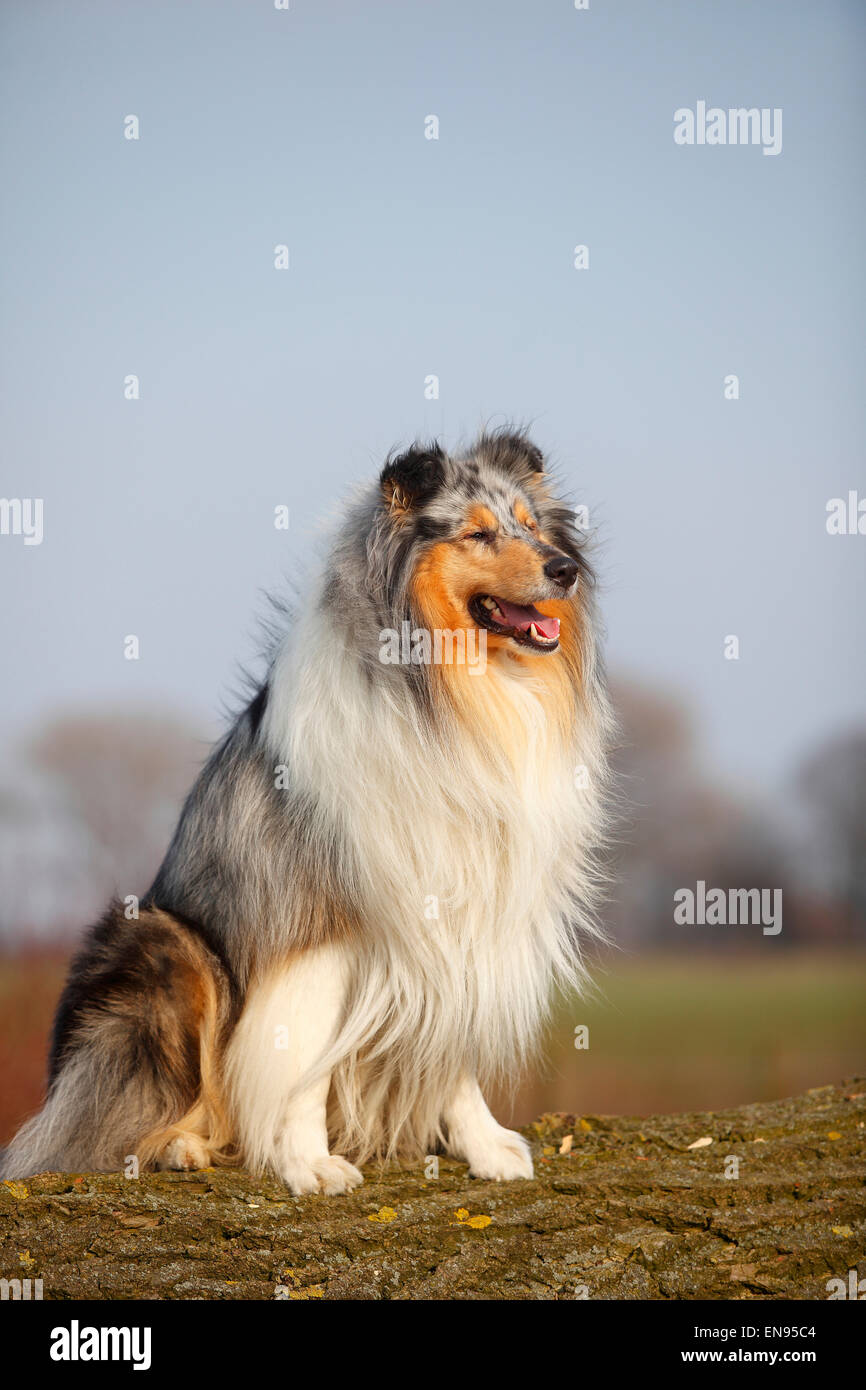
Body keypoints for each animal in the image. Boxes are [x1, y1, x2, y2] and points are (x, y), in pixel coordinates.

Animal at [1, 430, 608, 1195]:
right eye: (476, 533)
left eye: (532, 527)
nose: (566, 569)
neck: (452, 694)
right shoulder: (316, 922)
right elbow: (301, 1064)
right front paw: (308, 1161)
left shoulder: (462, 920)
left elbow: (452, 1054)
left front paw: (485, 1145)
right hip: (166, 943)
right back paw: (180, 1145)